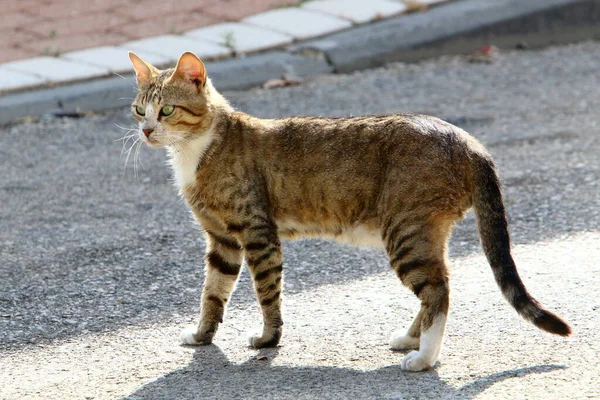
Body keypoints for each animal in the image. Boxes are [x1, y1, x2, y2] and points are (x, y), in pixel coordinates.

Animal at [127, 50, 572, 372]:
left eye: (167, 111)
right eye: (138, 110)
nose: (146, 130)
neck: (194, 152)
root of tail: (468, 140)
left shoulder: (257, 233)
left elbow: (267, 293)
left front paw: (268, 340)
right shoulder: (222, 240)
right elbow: (212, 293)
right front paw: (202, 337)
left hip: (405, 230)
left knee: (439, 290)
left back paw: (424, 358)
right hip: (424, 232)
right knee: (438, 286)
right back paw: (412, 339)